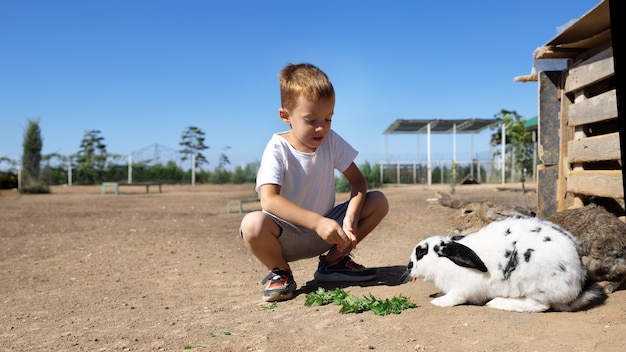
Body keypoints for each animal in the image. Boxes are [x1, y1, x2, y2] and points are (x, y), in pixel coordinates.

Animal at [404, 216, 604, 312]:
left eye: (421, 252)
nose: (409, 266)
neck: (443, 262)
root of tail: (577, 287)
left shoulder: (462, 289)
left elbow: (455, 297)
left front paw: (439, 302)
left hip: (534, 284)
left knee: (540, 306)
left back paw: (497, 303)